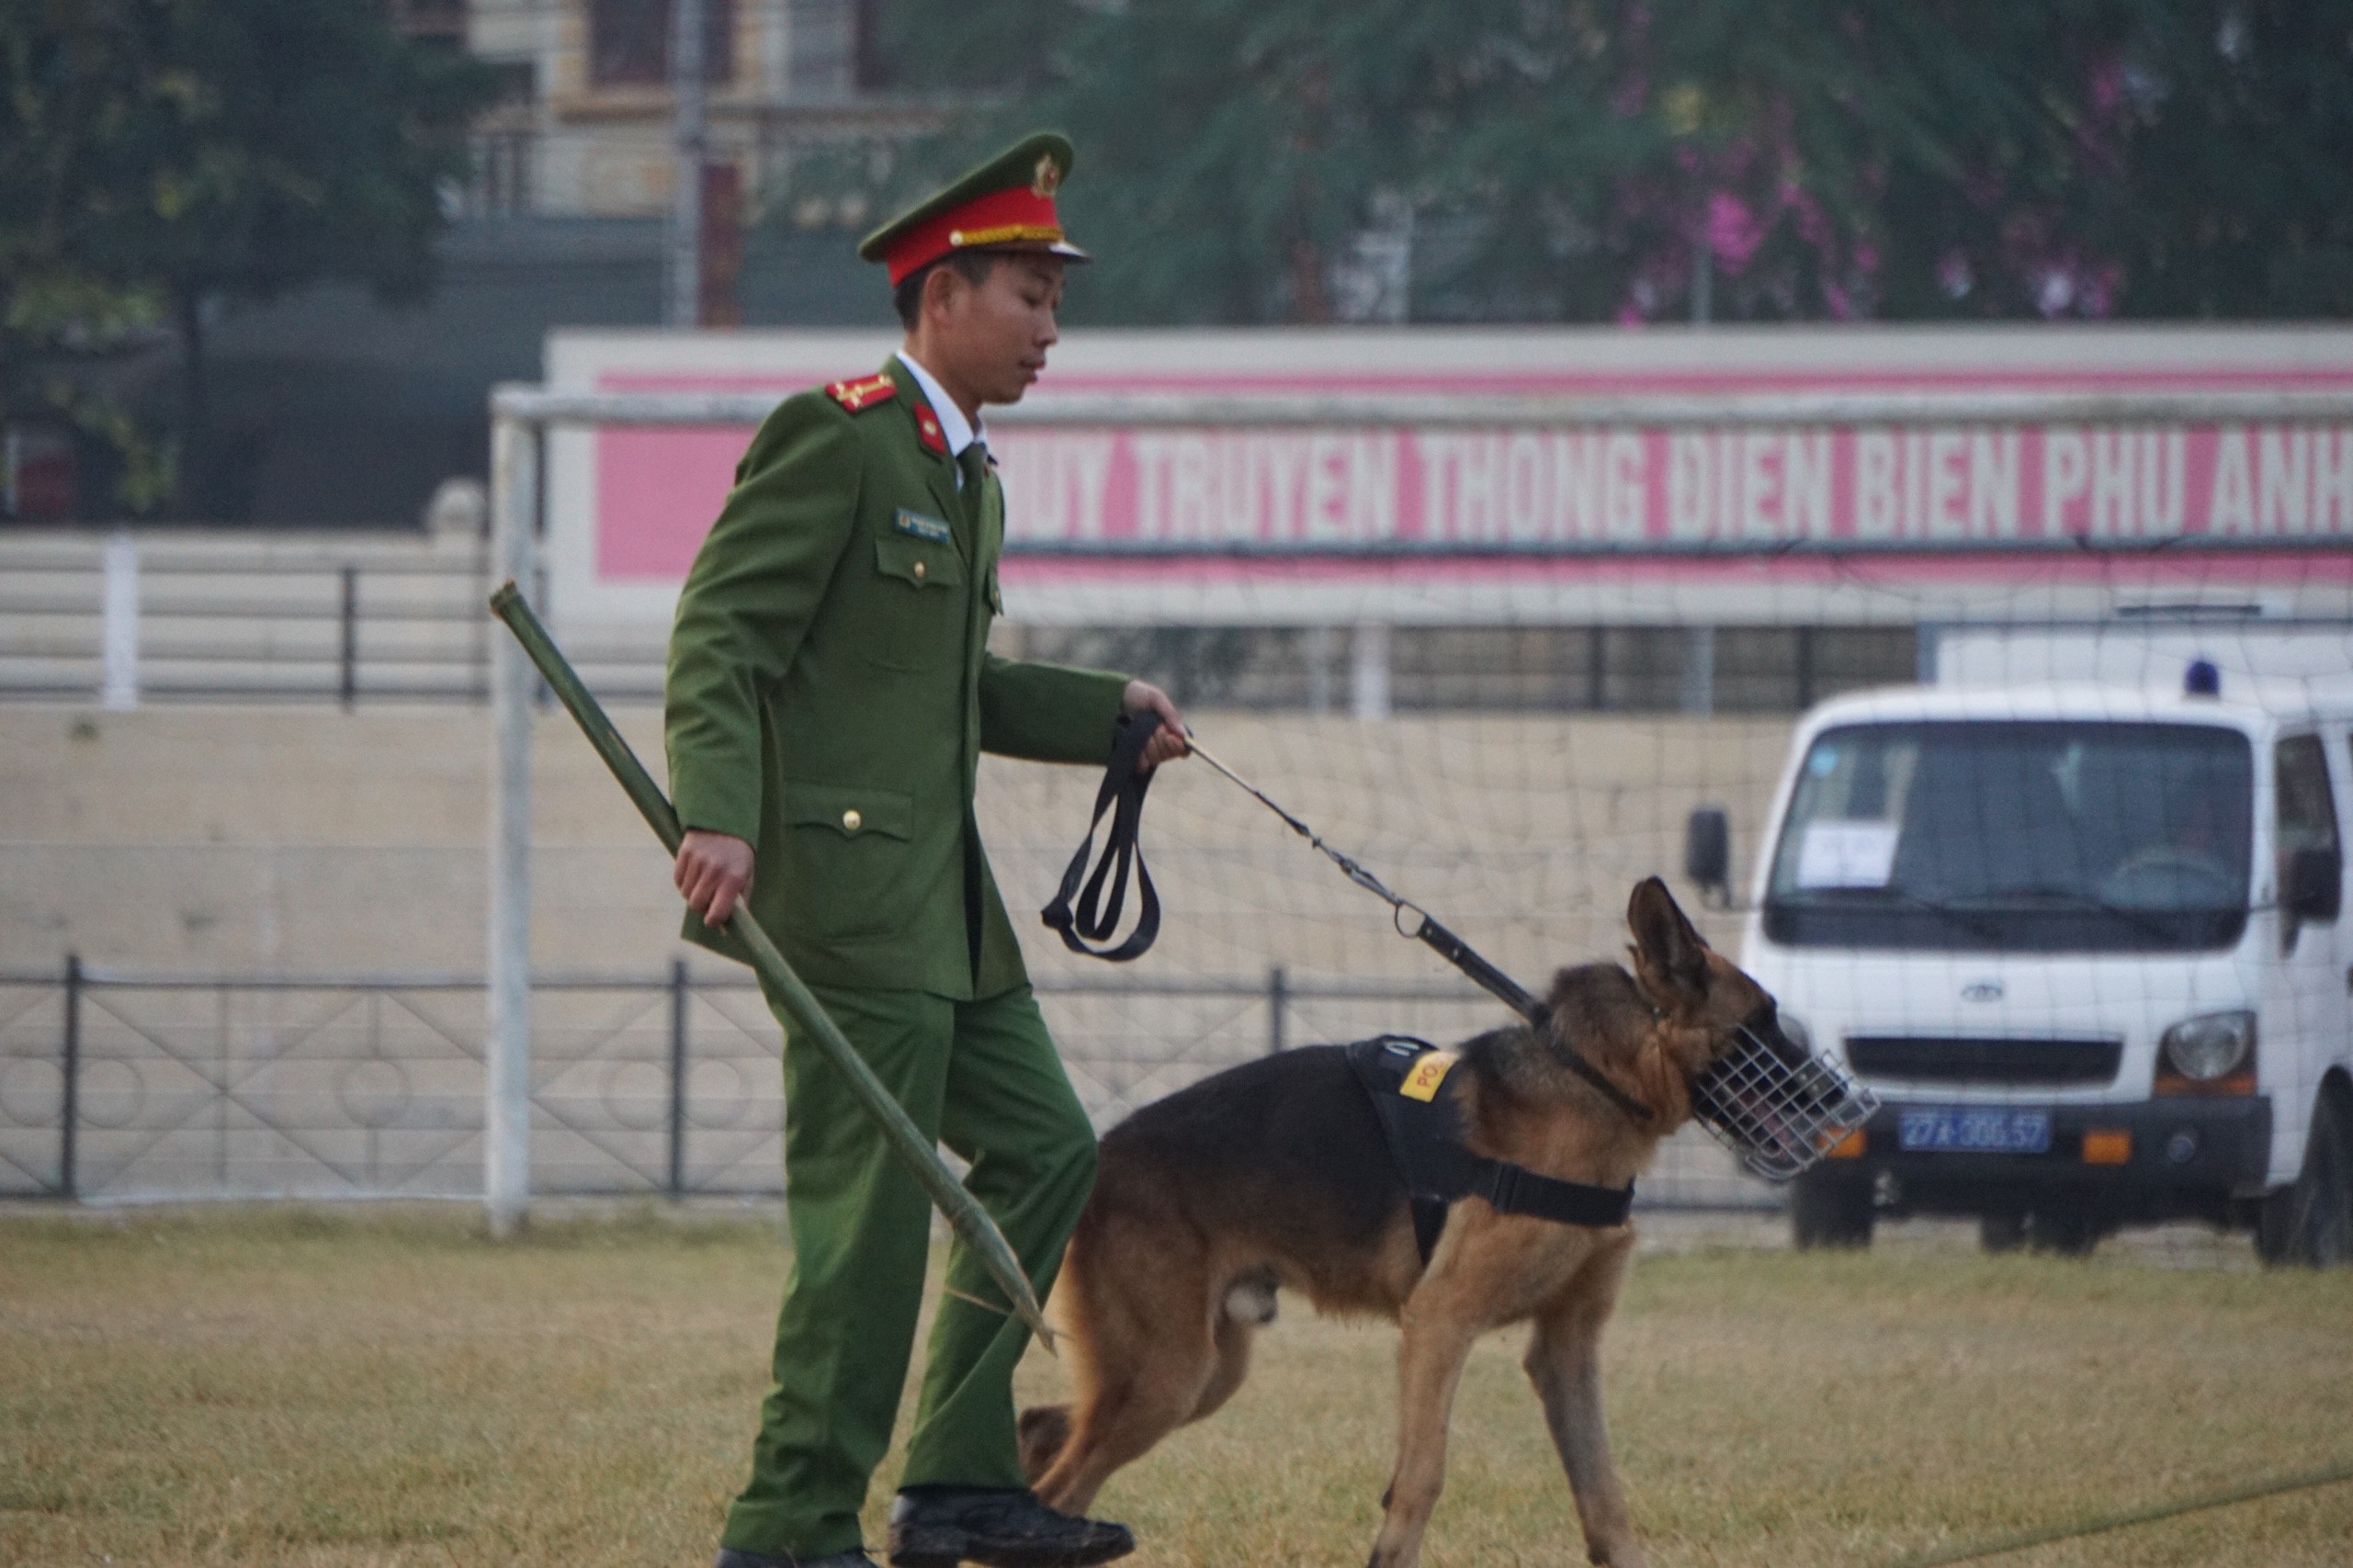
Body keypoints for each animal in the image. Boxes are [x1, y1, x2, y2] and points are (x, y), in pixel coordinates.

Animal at [1012, 884, 1797, 1568]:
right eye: (1761, 1021)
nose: (1823, 1098)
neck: (1591, 1076)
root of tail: (1103, 1152)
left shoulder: (1566, 1349)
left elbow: (1603, 1493)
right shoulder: (1439, 1322)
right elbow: (1422, 1473)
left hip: (1200, 1373)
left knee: (1045, 1432)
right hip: (1167, 1377)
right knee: (1063, 1484)